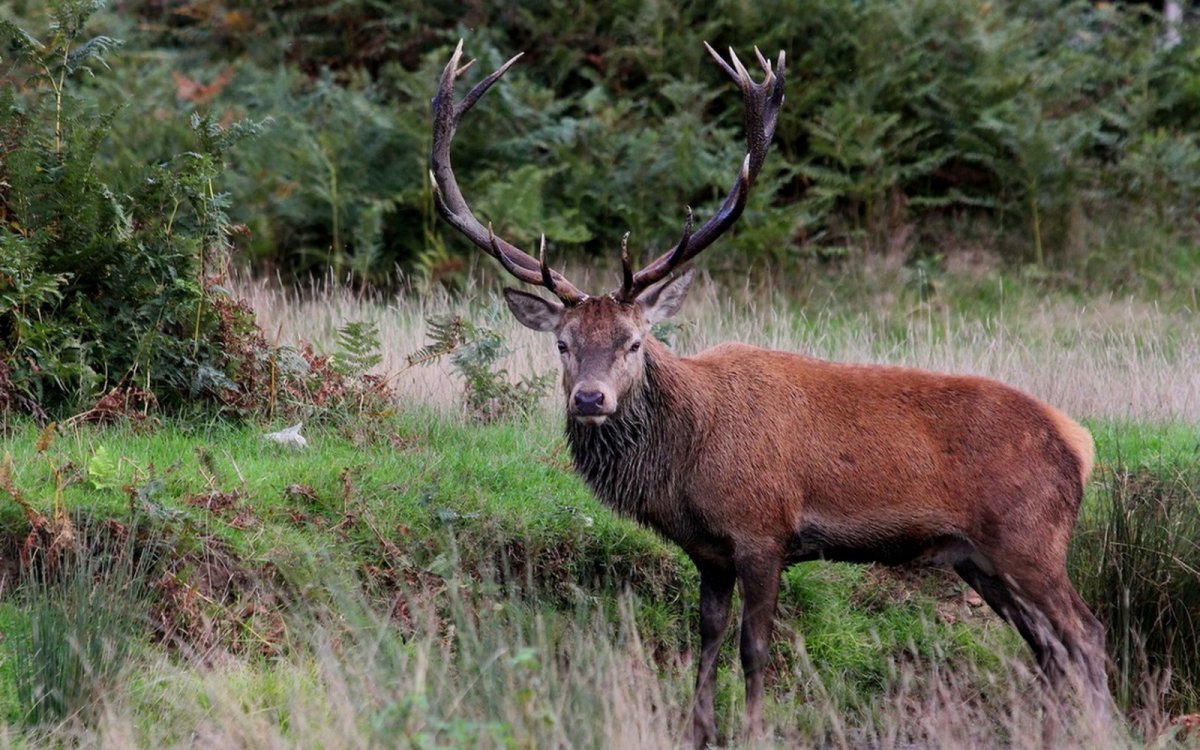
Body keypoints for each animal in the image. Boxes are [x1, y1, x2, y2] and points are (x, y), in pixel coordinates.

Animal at [427, 42, 1108, 748]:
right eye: (561, 344)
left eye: (634, 342)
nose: (591, 399)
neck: (685, 465)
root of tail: (1080, 441)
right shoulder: (708, 551)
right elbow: (706, 638)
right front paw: (697, 729)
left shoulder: (763, 531)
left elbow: (754, 649)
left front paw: (753, 730)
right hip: (979, 558)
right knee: (1049, 648)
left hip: (1030, 537)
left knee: (1087, 635)